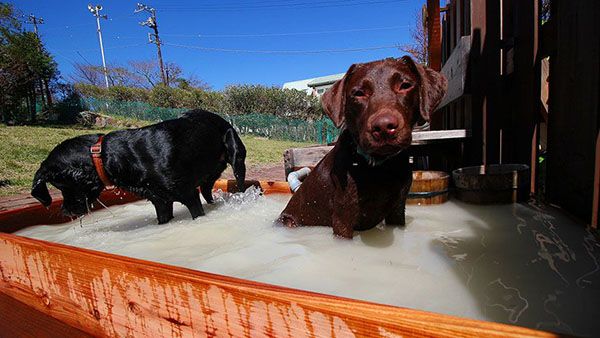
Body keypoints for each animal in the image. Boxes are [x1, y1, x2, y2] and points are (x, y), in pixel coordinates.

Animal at [29, 109, 246, 223]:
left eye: (60, 185)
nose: (64, 211)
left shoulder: (189, 196)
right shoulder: (161, 202)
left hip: (237, 159)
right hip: (209, 174)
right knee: (208, 191)